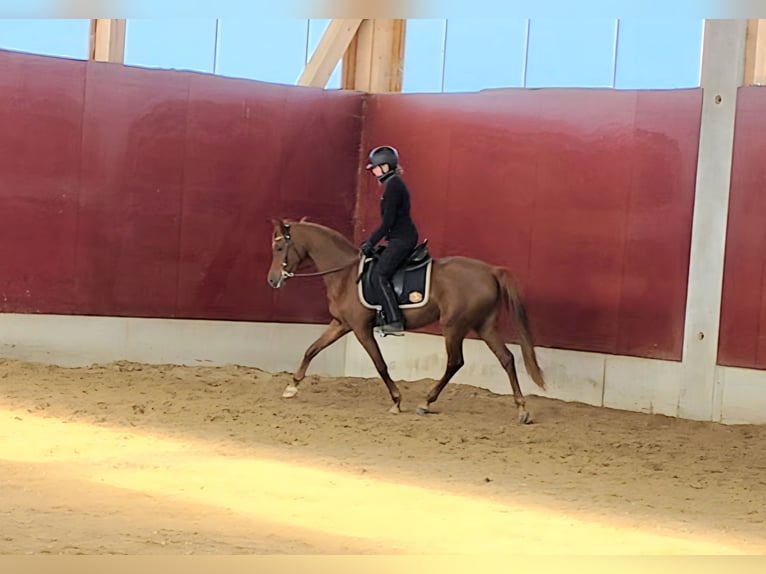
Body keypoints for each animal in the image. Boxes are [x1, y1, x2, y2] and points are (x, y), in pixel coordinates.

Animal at [266, 217, 546, 424]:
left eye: (279, 248)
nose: (272, 280)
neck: (345, 274)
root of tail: (490, 271)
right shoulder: (341, 324)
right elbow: (311, 349)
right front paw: (292, 386)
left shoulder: (360, 328)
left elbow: (380, 364)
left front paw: (396, 401)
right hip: (484, 325)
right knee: (506, 358)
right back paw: (521, 409)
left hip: (454, 327)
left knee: (455, 362)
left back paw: (426, 402)